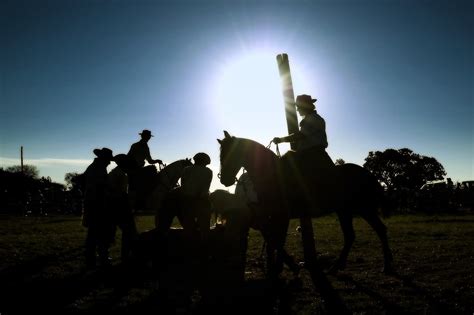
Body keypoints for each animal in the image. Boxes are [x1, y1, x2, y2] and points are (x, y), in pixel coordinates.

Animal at [217, 130, 394, 276]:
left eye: (231, 154)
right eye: (220, 155)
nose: (224, 179)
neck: (273, 174)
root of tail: (368, 174)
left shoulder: (281, 216)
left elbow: (278, 240)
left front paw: (282, 267)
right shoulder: (269, 216)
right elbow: (272, 240)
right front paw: (280, 266)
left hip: (364, 209)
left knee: (377, 230)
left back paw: (385, 266)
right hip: (346, 211)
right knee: (354, 235)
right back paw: (337, 267)